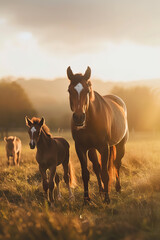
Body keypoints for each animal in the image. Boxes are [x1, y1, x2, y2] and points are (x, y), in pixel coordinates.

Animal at [66, 66, 129, 203]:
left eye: (87, 90)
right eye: (69, 90)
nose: (79, 118)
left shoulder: (104, 147)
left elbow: (105, 173)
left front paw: (107, 199)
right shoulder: (80, 148)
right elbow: (86, 173)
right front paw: (86, 199)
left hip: (120, 145)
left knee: (116, 164)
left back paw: (117, 188)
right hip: (92, 149)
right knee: (97, 167)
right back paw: (101, 190)